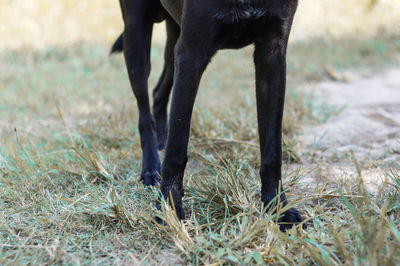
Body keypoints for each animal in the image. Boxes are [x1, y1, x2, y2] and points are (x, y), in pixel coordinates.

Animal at [112, 0, 304, 231]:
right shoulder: (191, 55)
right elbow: (177, 147)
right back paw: (150, 167)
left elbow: (272, 150)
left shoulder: (272, 53)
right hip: (136, 37)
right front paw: (169, 209)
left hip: (174, 40)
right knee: (144, 111)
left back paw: (161, 140)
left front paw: (278, 208)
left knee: (158, 92)